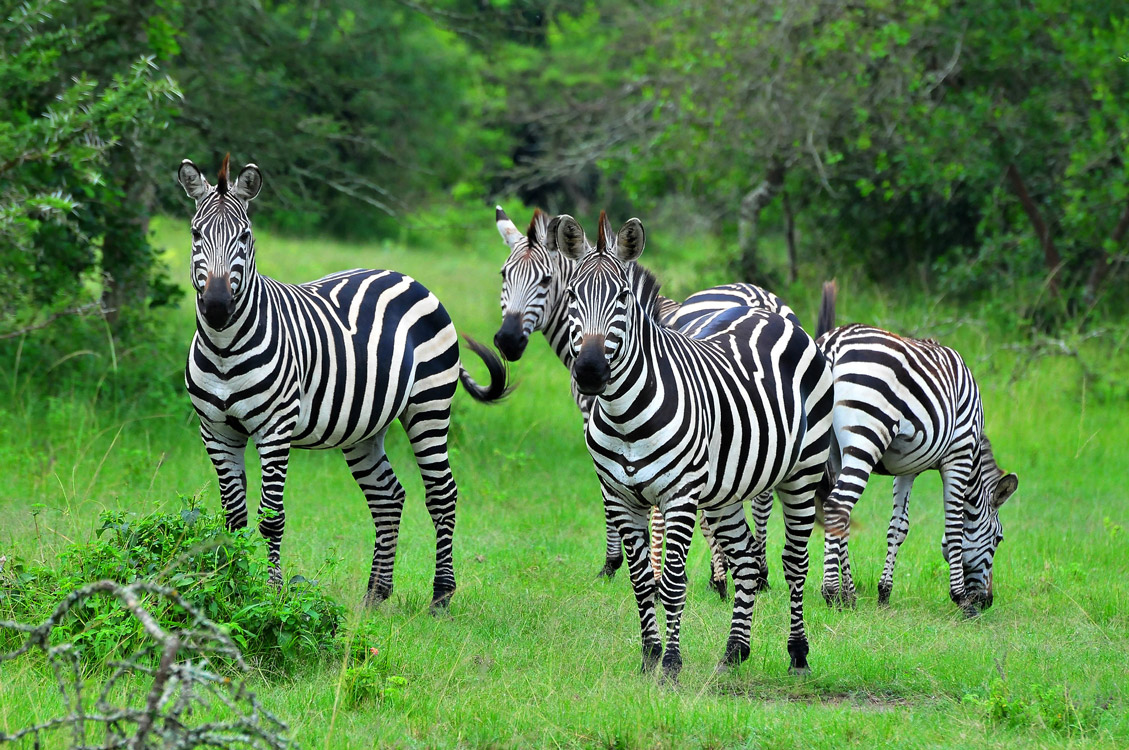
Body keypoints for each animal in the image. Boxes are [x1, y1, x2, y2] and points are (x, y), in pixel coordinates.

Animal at [178, 155, 510, 611]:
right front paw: (228, 586)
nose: (215, 306)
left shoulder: (274, 430)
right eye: (196, 233)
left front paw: (272, 595)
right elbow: (233, 518)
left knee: (442, 494)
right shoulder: (215, 431)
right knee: (388, 497)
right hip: (364, 428)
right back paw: (376, 593)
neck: (224, 347)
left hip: (428, 406)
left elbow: (271, 518)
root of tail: (406, 277)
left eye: (245, 236)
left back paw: (441, 595)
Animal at [493, 206, 794, 596]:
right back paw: (760, 573)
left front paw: (615, 564)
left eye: (545, 281)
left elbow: (618, 499)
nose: (508, 341)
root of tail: (760, 300)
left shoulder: (603, 420)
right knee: (762, 494)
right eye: (504, 275)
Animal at [553, 211, 833, 678]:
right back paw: (735, 651)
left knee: (795, 563)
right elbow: (641, 581)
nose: (590, 372)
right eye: (573, 296)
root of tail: (771, 312)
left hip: (802, 473)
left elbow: (671, 582)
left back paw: (798, 654)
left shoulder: (679, 496)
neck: (624, 416)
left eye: (623, 298)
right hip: (725, 492)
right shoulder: (620, 496)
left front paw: (670, 663)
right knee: (745, 561)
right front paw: (649, 656)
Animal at [814, 283, 1018, 614]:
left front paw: (884, 592)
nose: (987, 601)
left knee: (836, 510)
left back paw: (849, 594)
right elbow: (954, 525)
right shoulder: (959, 454)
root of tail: (833, 343)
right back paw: (832, 592)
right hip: (866, 436)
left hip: (830, 448)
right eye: (998, 539)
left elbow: (898, 527)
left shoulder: (906, 468)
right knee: (837, 506)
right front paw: (961, 598)